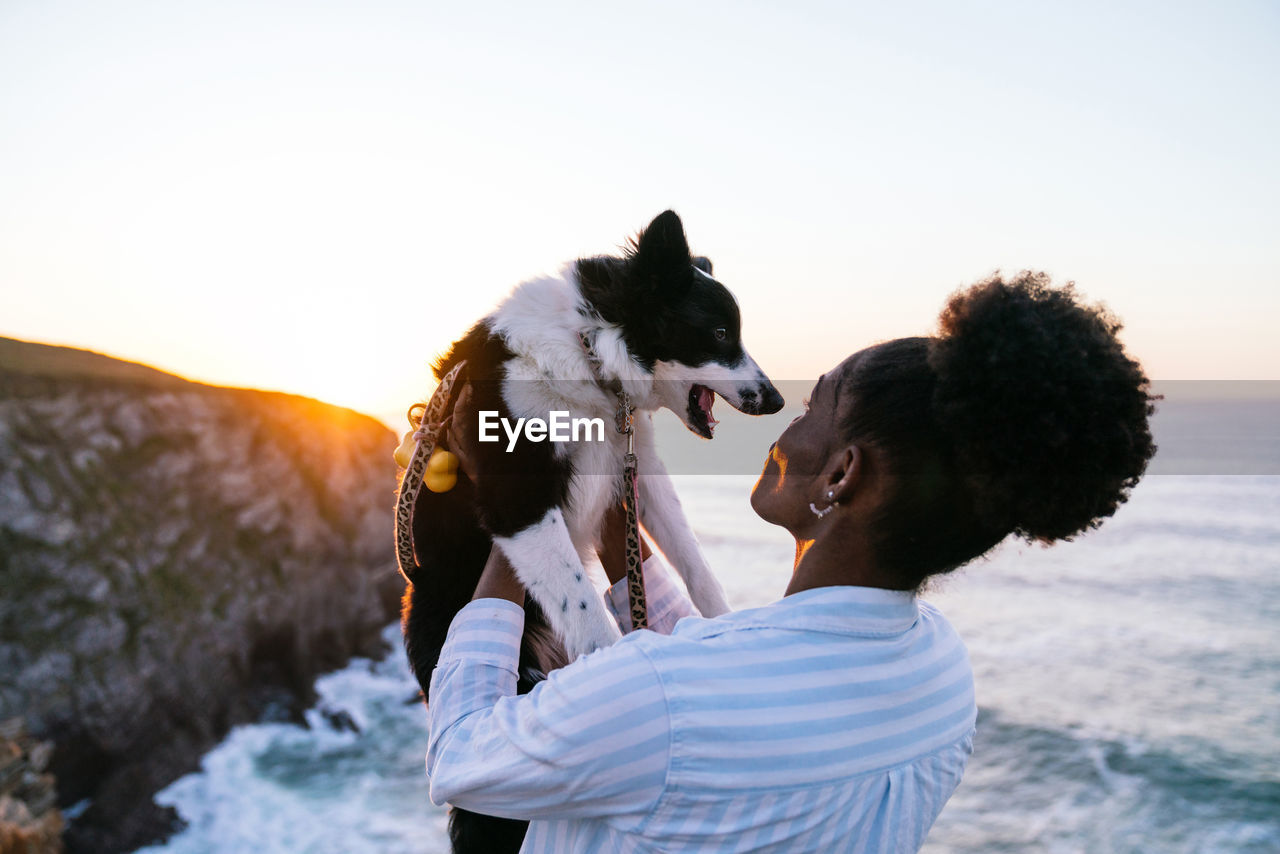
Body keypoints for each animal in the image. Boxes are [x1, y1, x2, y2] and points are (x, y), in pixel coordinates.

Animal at [399, 209, 783, 850]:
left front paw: (725, 628)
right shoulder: (518, 498)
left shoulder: (638, 466)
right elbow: (589, 616)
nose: (776, 400)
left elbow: (695, 563)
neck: (590, 349)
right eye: (719, 333)